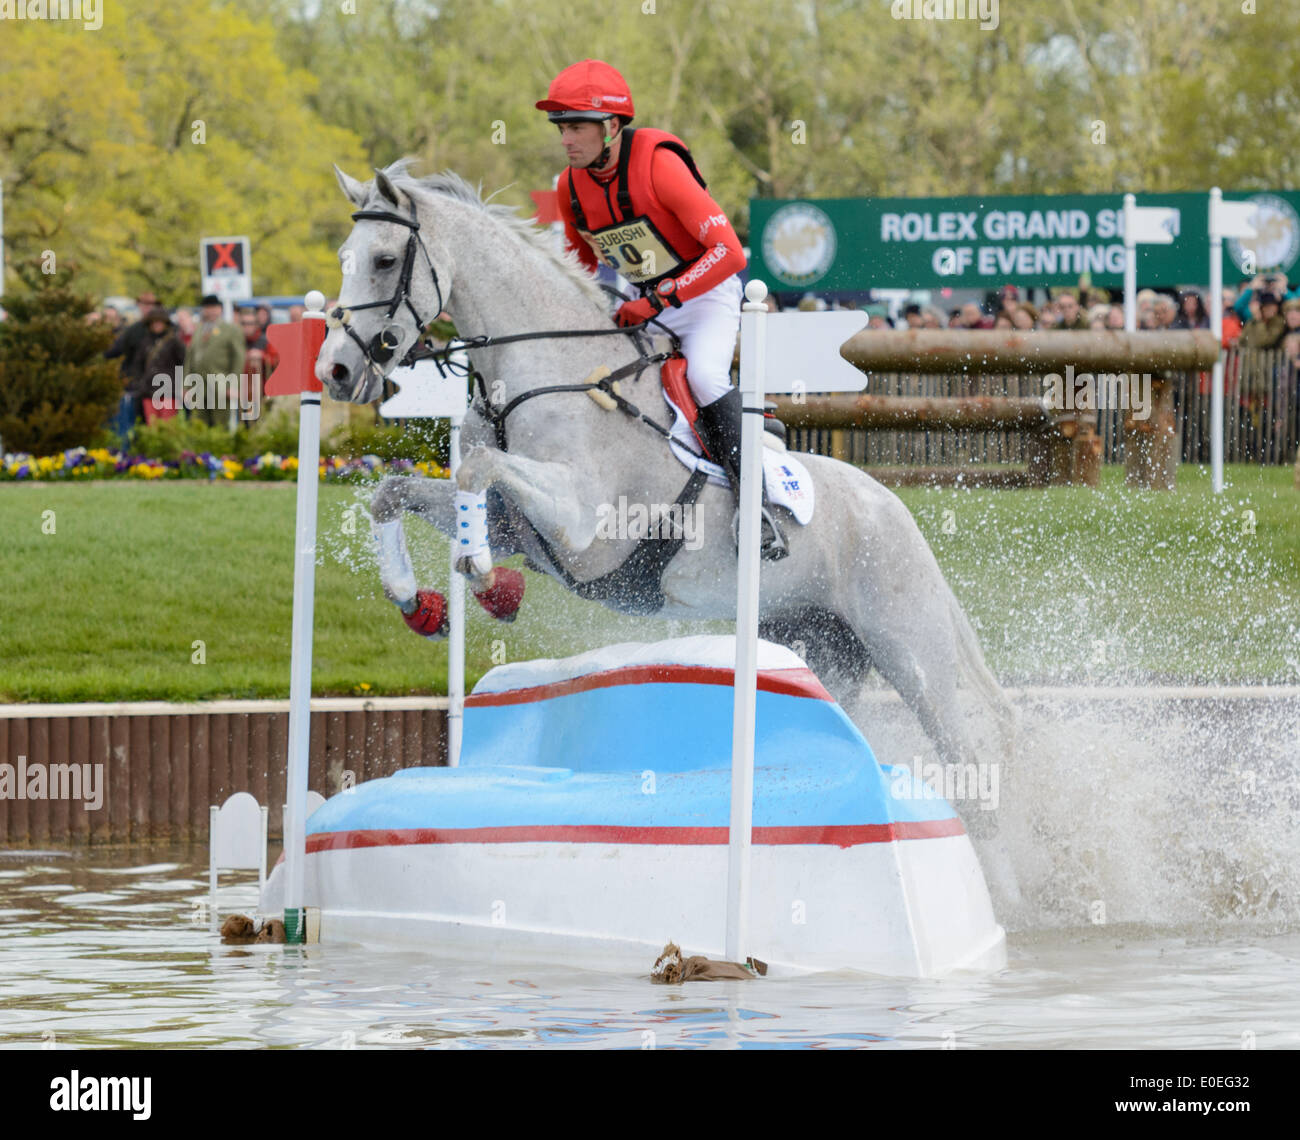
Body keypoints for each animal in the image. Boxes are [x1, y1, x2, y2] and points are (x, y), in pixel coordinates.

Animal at [319, 159, 1019, 826]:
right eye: (345, 258)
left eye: (385, 261)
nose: (336, 372)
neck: (547, 376)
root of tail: (896, 509)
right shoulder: (513, 526)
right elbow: (394, 491)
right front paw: (420, 605)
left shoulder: (586, 530)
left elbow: (477, 468)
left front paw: (491, 587)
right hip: (819, 645)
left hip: (911, 653)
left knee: (972, 763)